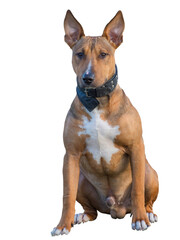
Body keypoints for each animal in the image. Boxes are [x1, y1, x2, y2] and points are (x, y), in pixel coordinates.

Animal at [51, 10, 158, 235]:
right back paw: (81, 216)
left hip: (149, 172)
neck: (97, 102)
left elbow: (137, 190)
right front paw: (63, 225)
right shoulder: (70, 156)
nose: (87, 78)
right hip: (81, 179)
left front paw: (140, 220)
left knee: (146, 197)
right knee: (90, 209)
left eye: (103, 54)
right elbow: (67, 195)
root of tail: (116, 208)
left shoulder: (136, 147)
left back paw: (148, 213)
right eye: (79, 54)